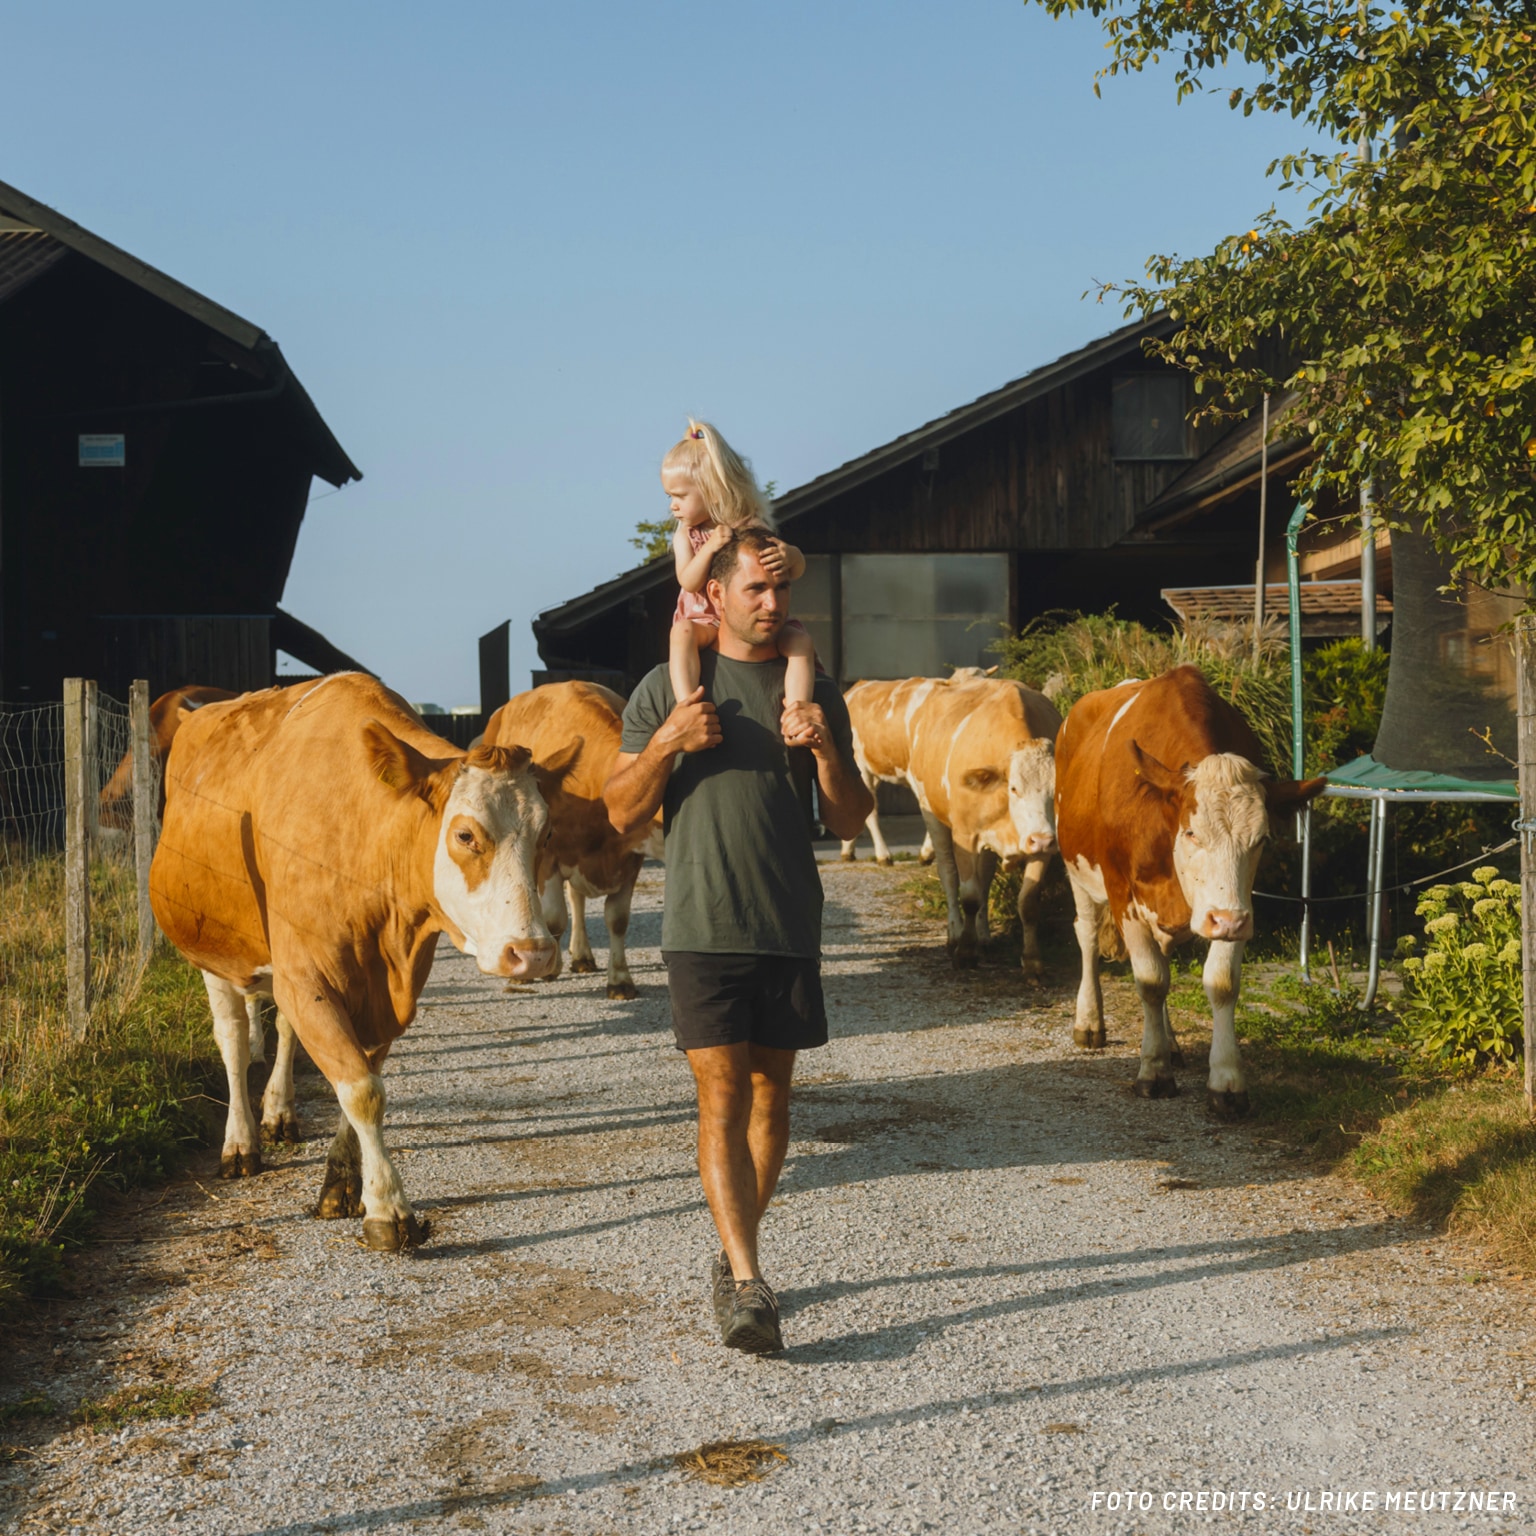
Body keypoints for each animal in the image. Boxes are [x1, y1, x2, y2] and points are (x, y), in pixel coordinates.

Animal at [149, 672, 556, 1247]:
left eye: (548, 833)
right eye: (465, 834)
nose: (533, 953)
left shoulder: (383, 991)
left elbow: (360, 1075)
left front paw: (343, 1183)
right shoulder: (307, 977)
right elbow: (361, 1089)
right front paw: (388, 1208)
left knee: (284, 1031)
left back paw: (278, 1111)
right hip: (213, 949)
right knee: (232, 1040)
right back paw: (241, 1141)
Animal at [482, 681, 663, 995]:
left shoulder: (630, 861)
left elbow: (617, 919)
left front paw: (620, 980)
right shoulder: (548, 858)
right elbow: (555, 918)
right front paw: (545, 968)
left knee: (576, 898)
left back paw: (581, 955)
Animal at [835, 675, 1062, 964]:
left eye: (1056, 789)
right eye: (1014, 788)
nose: (1042, 840)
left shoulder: (1041, 840)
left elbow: (1028, 901)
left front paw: (1032, 960)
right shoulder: (965, 834)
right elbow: (969, 895)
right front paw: (964, 950)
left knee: (984, 879)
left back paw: (983, 936)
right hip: (908, 795)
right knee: (947, 872)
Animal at [1056, 663, 1320, 1118]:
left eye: (1261, 839)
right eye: (1193, 832)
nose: (1226, 920)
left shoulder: (1236, 906)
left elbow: (1221, 982)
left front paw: (1226, 1081)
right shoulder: (1124, 895)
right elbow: (1149, 981)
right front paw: (1153, 1070)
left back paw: (1171, 1042)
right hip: (1079, 873)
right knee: (1087, 936)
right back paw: (1089, 1021)